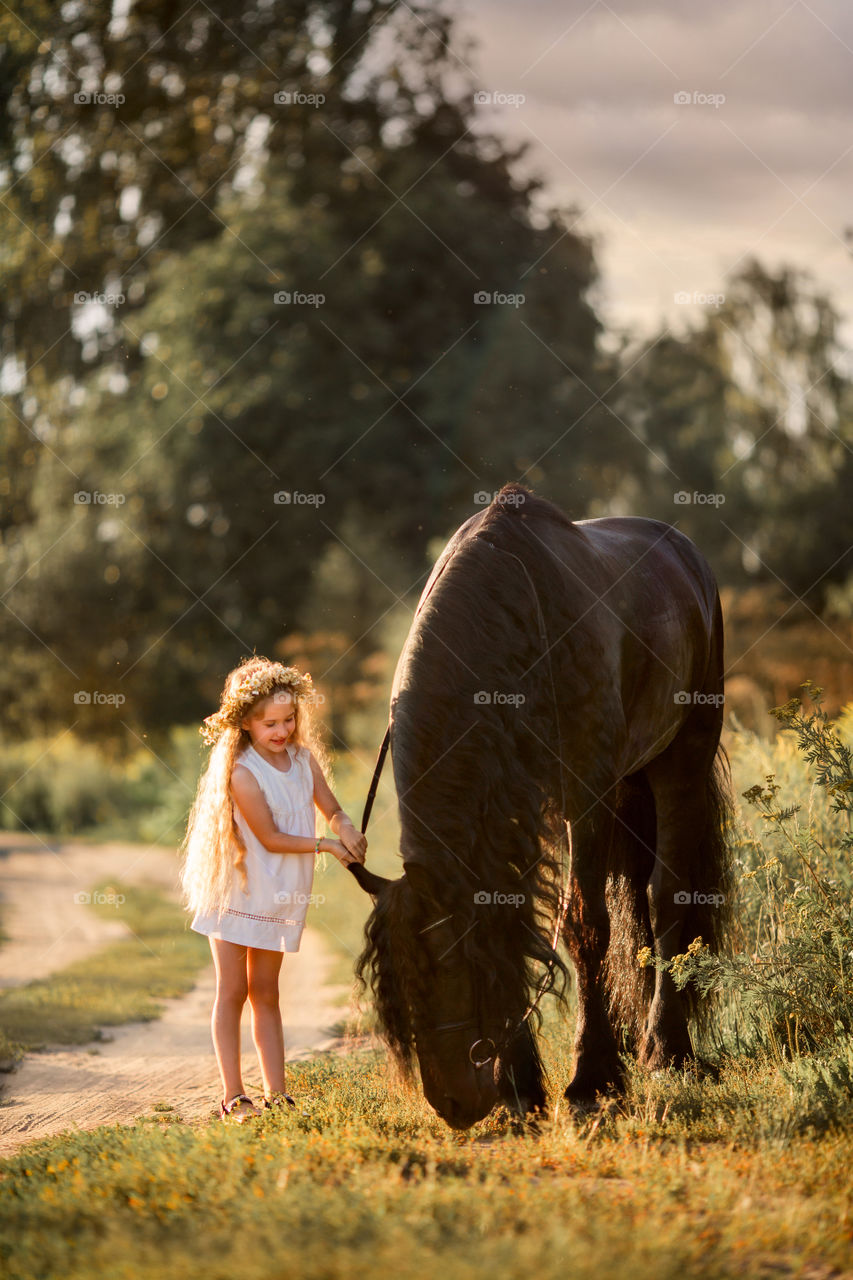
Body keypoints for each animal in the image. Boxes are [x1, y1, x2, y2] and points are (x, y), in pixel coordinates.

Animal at [348, 481, 727, 1131]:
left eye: (446, 966)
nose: (452, 1104)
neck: (516, 623)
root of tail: (688, 558)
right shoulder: (506, 806)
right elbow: (512, 919)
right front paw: (521, 1086)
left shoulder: (586, 795)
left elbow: (583, 924)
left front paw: (591, 1080)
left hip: (682, 760)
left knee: (668, 896)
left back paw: (665, 1050)